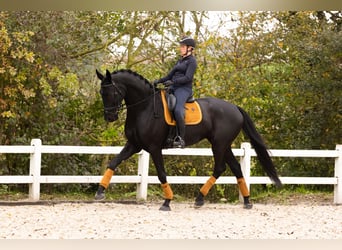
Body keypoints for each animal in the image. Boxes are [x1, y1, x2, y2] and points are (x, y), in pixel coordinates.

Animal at [93, 69, 280, 211]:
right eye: (102, 93)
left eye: (112, 92)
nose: (110, 117)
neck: (144, 107)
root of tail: (235, 108)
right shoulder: (134, 145)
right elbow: (113, 163)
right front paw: (100, 192)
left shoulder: (154, 147)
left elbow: (161, 174)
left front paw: (167, 202)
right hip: (223, 145)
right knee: (235, 168)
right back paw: (245, 201)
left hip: (219, 144)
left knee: (220, 168)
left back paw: (200, 198)